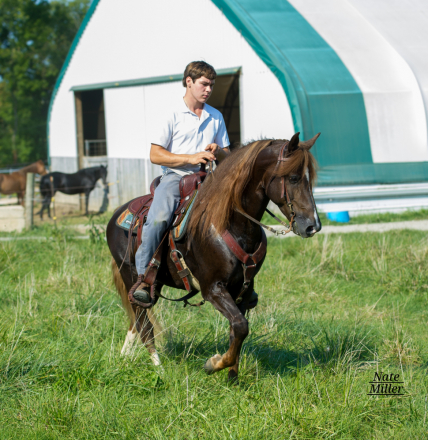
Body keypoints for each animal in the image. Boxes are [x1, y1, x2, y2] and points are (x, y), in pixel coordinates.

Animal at [107, 132, 320, 380]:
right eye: (294, 178)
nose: (313, 226)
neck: (230, 223)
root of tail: (118, 214)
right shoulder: (213, 288)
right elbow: (240, 326)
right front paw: (215, 364)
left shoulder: (243, 290)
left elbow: (237, 330)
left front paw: (233, 377)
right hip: (130, 275)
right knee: (143, 325)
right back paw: (159, 370)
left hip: (155, 284)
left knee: (136, 320)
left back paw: (124, 357)